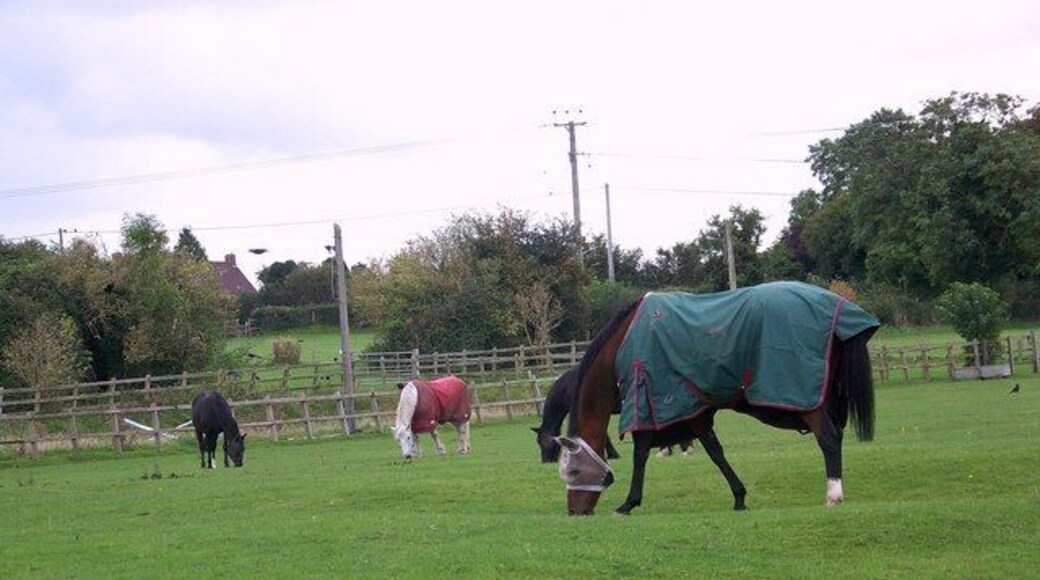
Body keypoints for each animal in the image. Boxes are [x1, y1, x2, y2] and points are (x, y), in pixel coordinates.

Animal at [557, 281, 879, 516]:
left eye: (573, 470)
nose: (575, 512)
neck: (625, 342)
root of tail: (840, 307)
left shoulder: (649, 404)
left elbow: (640, 454)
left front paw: (629, 503)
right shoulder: (694, 413)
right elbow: (716, 452)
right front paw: (739, 497)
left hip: (809, 402)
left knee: (829, 437)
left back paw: (834, 494)